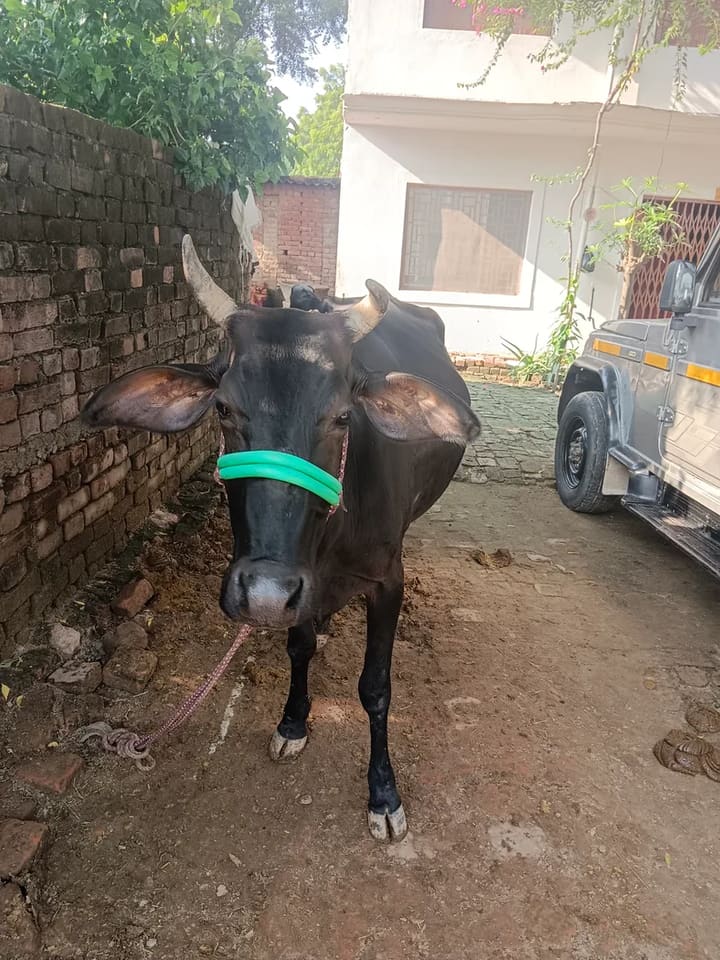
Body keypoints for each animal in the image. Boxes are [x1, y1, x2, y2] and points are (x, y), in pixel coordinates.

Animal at [82, 236, 479, 842]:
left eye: (343, 417)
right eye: (223, 408)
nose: (264, 593)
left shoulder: (388, 580)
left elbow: (376, 688)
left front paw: (384, 793)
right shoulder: (301, 587)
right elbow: (299, 647)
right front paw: (293, 722)